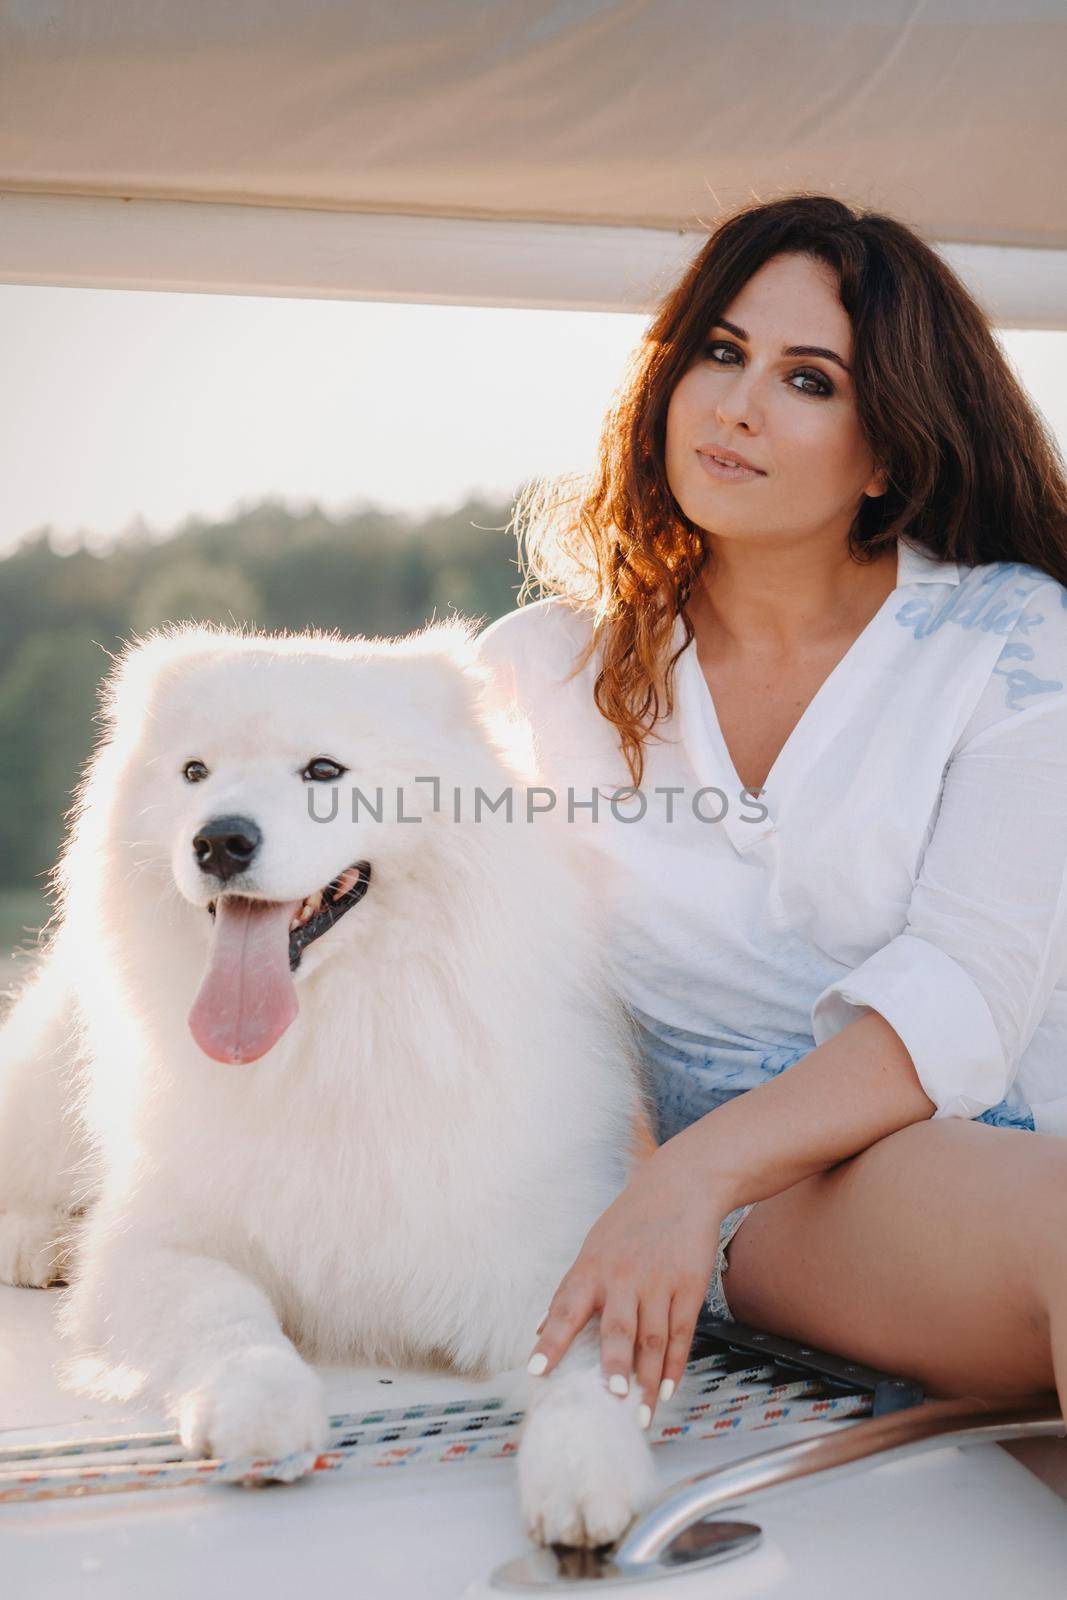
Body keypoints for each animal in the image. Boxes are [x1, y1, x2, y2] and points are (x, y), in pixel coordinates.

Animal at [0, 617, 659, 1542]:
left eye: (322, 771)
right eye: (194, 772)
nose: (220, 840)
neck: (332, 1039)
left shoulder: (554, 1262)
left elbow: (584, 1374)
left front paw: (584, 1469)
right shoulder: (161, 1247)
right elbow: (228, 1314)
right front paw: (260, 1406)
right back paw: (41, 1240)